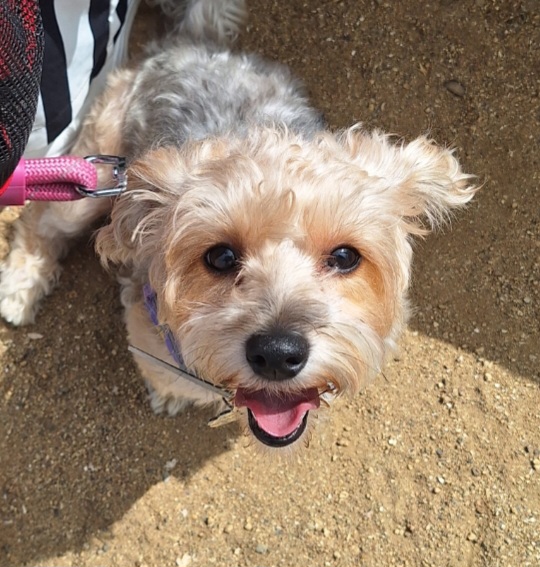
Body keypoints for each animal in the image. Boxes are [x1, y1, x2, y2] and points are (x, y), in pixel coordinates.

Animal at [0, 0, 476, 449]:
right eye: (220, 256)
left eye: (345, 257)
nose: (277, 354)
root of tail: (195, 42)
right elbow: (167, 377)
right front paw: (171, 395)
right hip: (91, 178)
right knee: (38, 218)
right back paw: (18, 289)